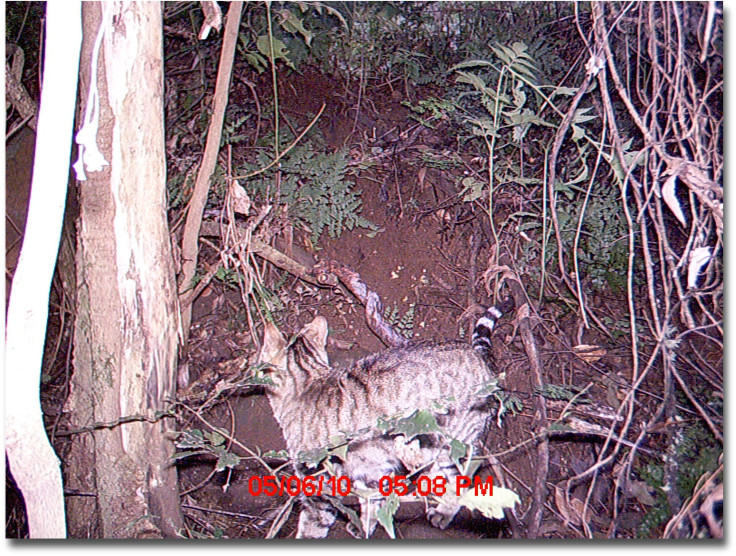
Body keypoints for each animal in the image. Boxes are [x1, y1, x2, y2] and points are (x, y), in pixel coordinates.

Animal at [258, 300, 512, 540]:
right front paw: (365, 526)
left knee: (463, 476)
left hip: (454, 443)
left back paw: (444, 510)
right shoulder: (370, 469)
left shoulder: (318, 483)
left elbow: (312, 526)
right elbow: (373, 501)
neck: (309, 382)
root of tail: (476, 353)